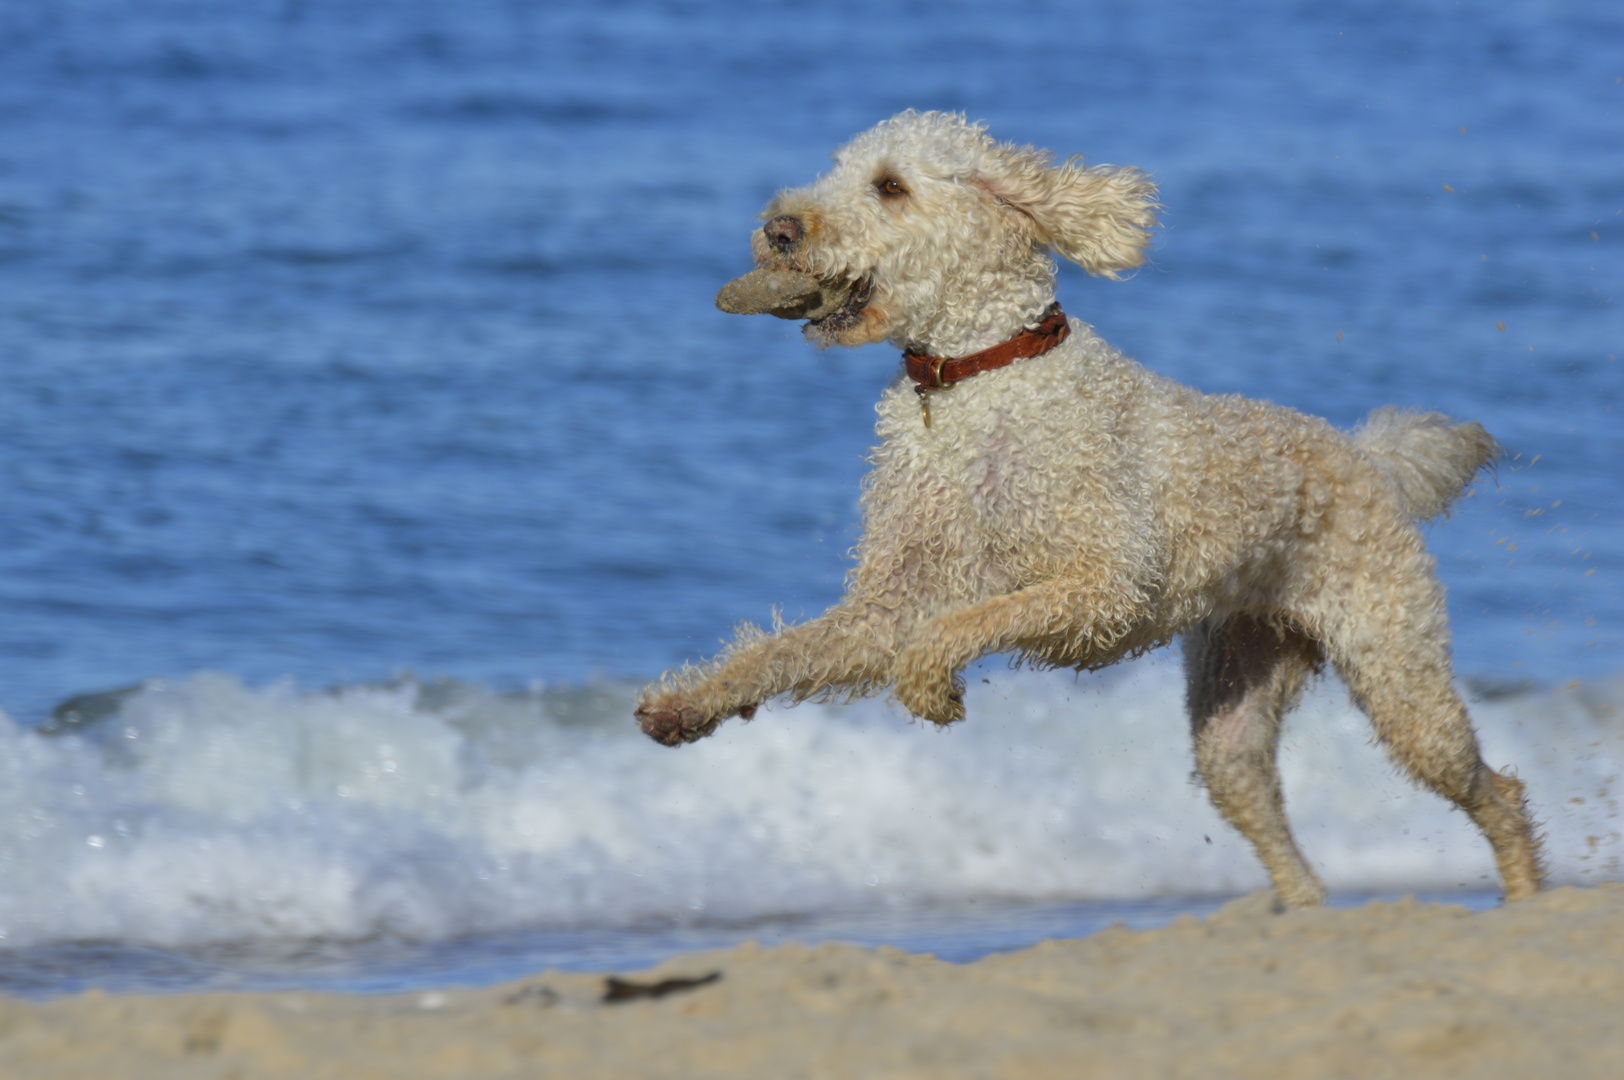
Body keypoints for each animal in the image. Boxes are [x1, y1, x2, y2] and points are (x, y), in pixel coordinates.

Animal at [630, 109, 1533, 902]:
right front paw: (687, 703)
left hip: (1397, 667)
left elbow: (953, 627)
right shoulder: (893, 596)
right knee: (1267, 812)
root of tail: (1371, 458)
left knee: (1497, 790)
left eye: (889, 186)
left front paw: (929, 687)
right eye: (836, 170)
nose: (779, 229)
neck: (979, 377)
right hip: (1235, 702)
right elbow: (784, 651)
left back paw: (1527, 894)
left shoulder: (1100, 586)